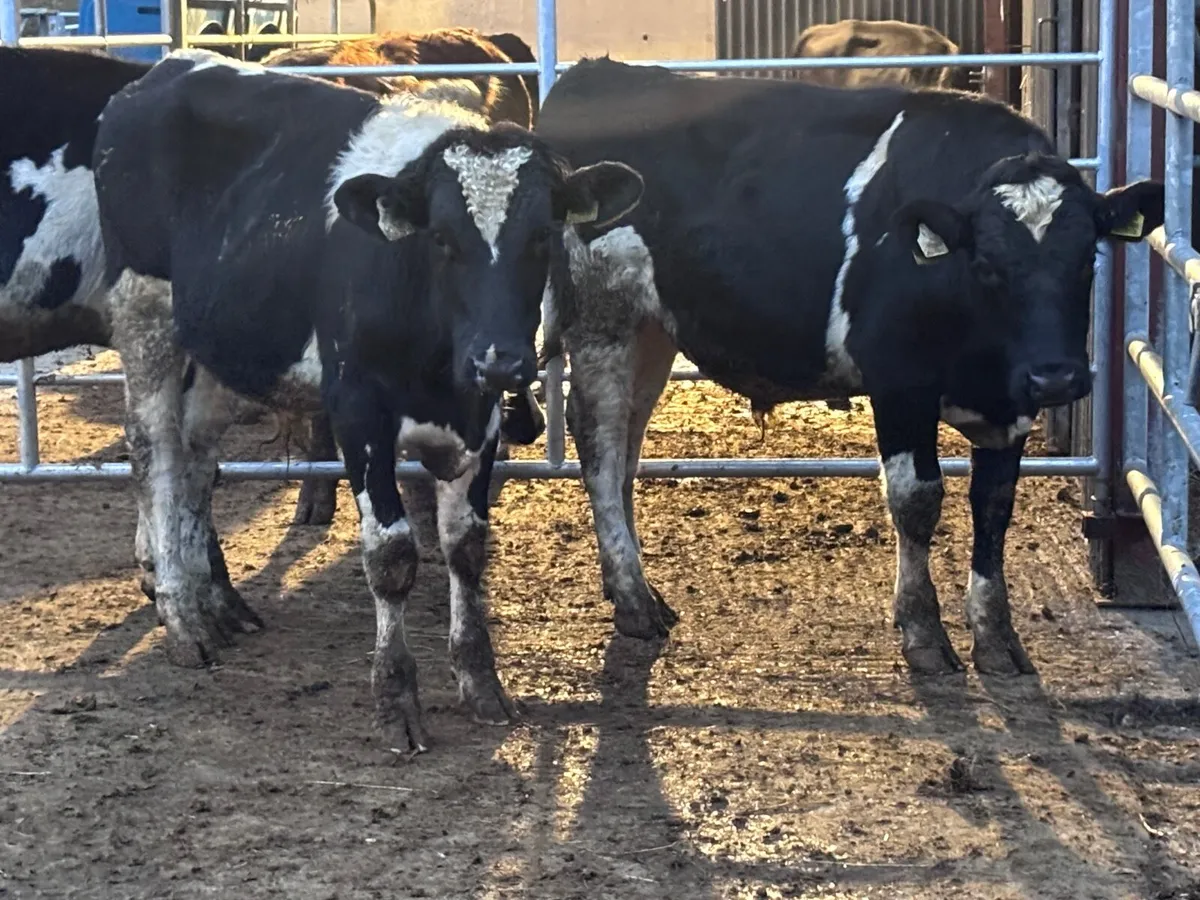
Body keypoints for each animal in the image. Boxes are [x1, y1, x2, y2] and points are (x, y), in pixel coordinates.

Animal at [92, 49, 642, 750]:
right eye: (441, 239)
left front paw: (480, 682)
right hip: (145, 312)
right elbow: (392, 554)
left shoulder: (482, 420)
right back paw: (182, 618)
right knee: (154, 453)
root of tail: (166, 67)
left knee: (194, 457)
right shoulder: (358, 412)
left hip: (216, 343)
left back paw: (215, 602)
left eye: (542, 235)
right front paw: (396, 698)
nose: (501, 359)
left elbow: (466, 547)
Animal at [536, 57, 1163, 677]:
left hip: (649, 332)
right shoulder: (899, 380)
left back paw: (638, 591)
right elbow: (916, 499)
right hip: (602, 323)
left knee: (626, 454)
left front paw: (996, 636)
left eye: (1087, 258)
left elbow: (994, 504)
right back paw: (634, 602)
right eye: (987, 263)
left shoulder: (1010, 403)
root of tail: (598, 72)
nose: (1055, 376)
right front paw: (923, 631)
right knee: (600, 449)